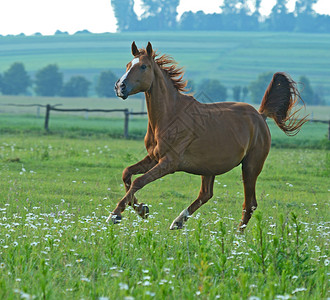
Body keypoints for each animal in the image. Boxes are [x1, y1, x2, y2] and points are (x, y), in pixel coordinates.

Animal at [107, 41, 308, 231]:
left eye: (143, 66)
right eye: (128, 65)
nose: (120, 87)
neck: (170, 115)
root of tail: (260, 116)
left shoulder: (169, 163)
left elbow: (138, 181)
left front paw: (115, 215)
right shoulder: (153, 158)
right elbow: (127, 174)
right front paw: (142, 209)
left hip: (251, 167)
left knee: (249, 204)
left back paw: (237, 237)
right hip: (209, 167)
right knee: (206, 194)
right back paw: (178, 221)